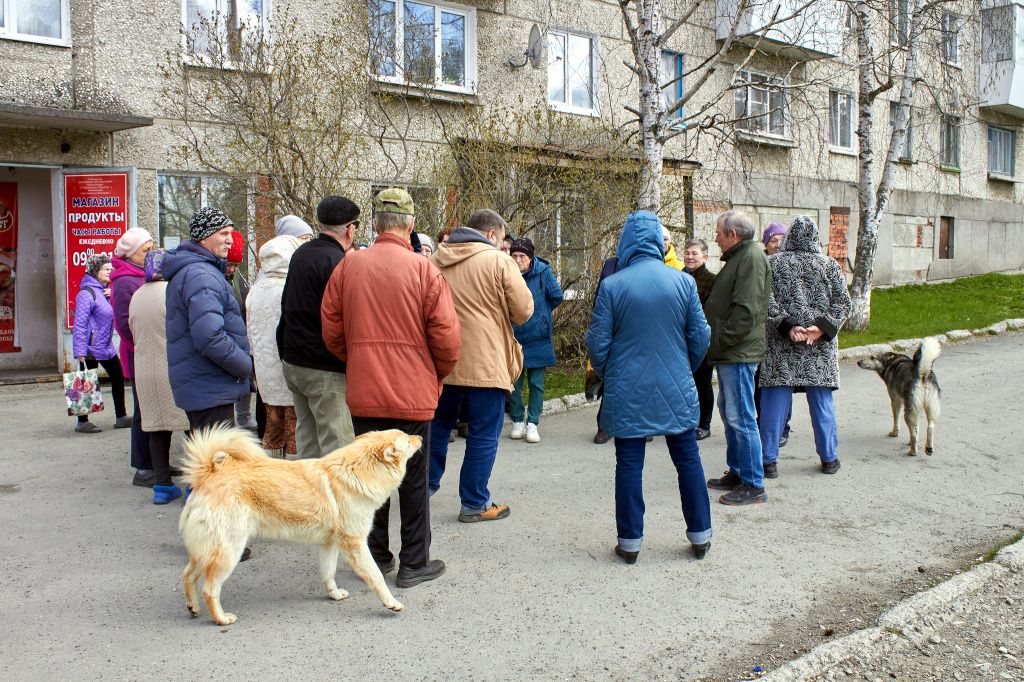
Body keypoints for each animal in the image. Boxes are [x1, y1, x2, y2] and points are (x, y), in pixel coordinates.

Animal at [177, 425, 419, 622]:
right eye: (407, 440)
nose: (420, 437)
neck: (356, 472)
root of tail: (206, 475)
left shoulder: (330, 544)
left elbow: (328, 573)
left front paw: (333, 594)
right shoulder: (355, 544)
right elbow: (376, 576)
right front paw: (391, 603)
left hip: (208, 550)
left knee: (188, 575)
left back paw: (192, 607)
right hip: (229, 551)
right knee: (209, 589)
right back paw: (222, 619)